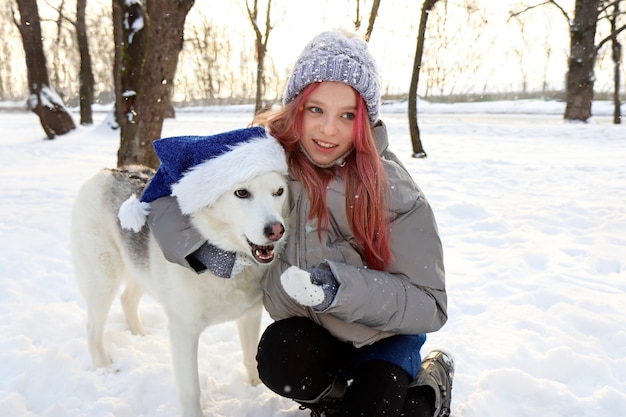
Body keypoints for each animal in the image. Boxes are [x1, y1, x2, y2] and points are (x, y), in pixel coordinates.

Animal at [70, 129, 288, 416]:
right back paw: (103, 366)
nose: (276, 230)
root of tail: (105, 171)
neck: (224, 260)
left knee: (127, 300)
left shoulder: (250, 316)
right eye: (241, 192)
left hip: (139, 271)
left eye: (279, 191)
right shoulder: (184, 332)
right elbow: (191, 390)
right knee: (92, 327)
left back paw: (140, 335)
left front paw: (255, 393)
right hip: (102, 281)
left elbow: (251, 360)